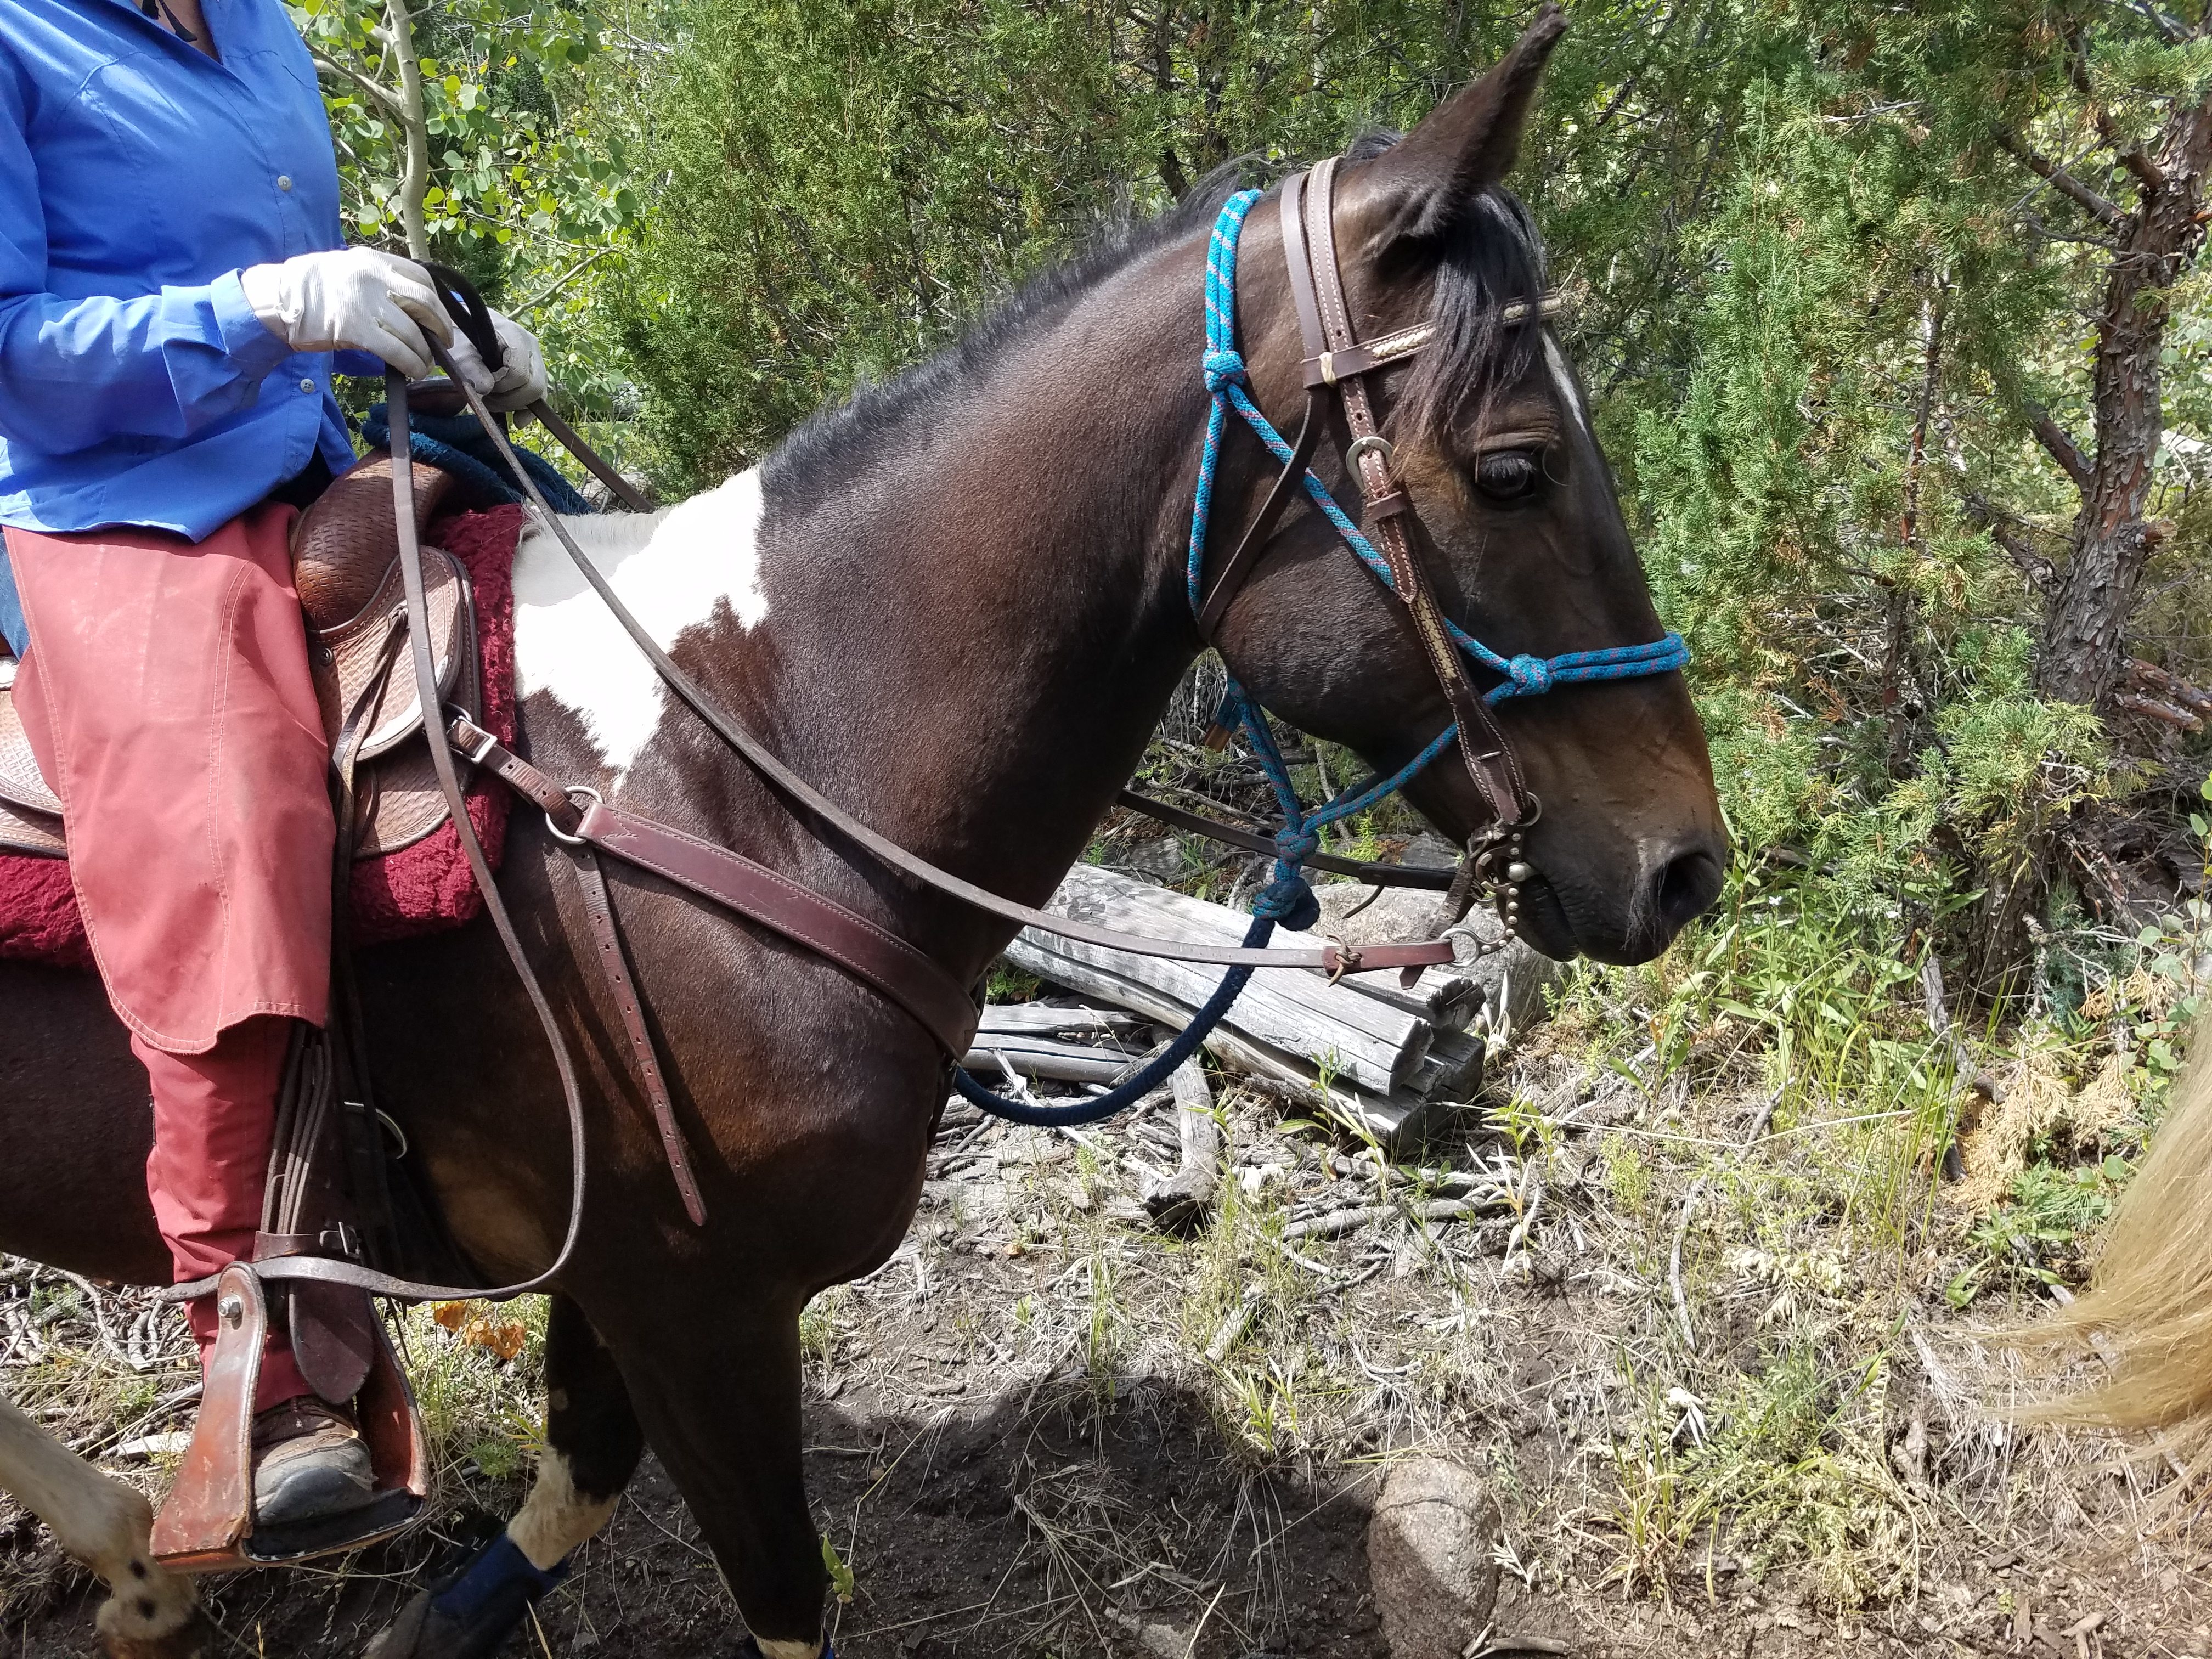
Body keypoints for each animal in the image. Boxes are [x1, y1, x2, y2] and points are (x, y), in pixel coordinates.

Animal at [0, 16, 1725, 1659]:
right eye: (1514, 468)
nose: (1686, 864)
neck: (749, 765)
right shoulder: (700, 1307)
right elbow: (775, 1590)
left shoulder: (624, 1282)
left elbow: (576, 1483)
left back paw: (133, 1564)